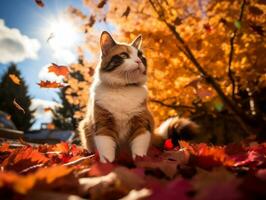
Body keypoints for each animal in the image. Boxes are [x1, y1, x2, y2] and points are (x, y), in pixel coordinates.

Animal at [78, 31, 198, 162]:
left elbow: (139, 148)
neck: (124, 89)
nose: (138, 61)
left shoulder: (141, 123)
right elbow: (107, 152)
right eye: (124, 55)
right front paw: (107, 164)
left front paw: (140, 161)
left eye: (140, 56)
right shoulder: (103, 124)